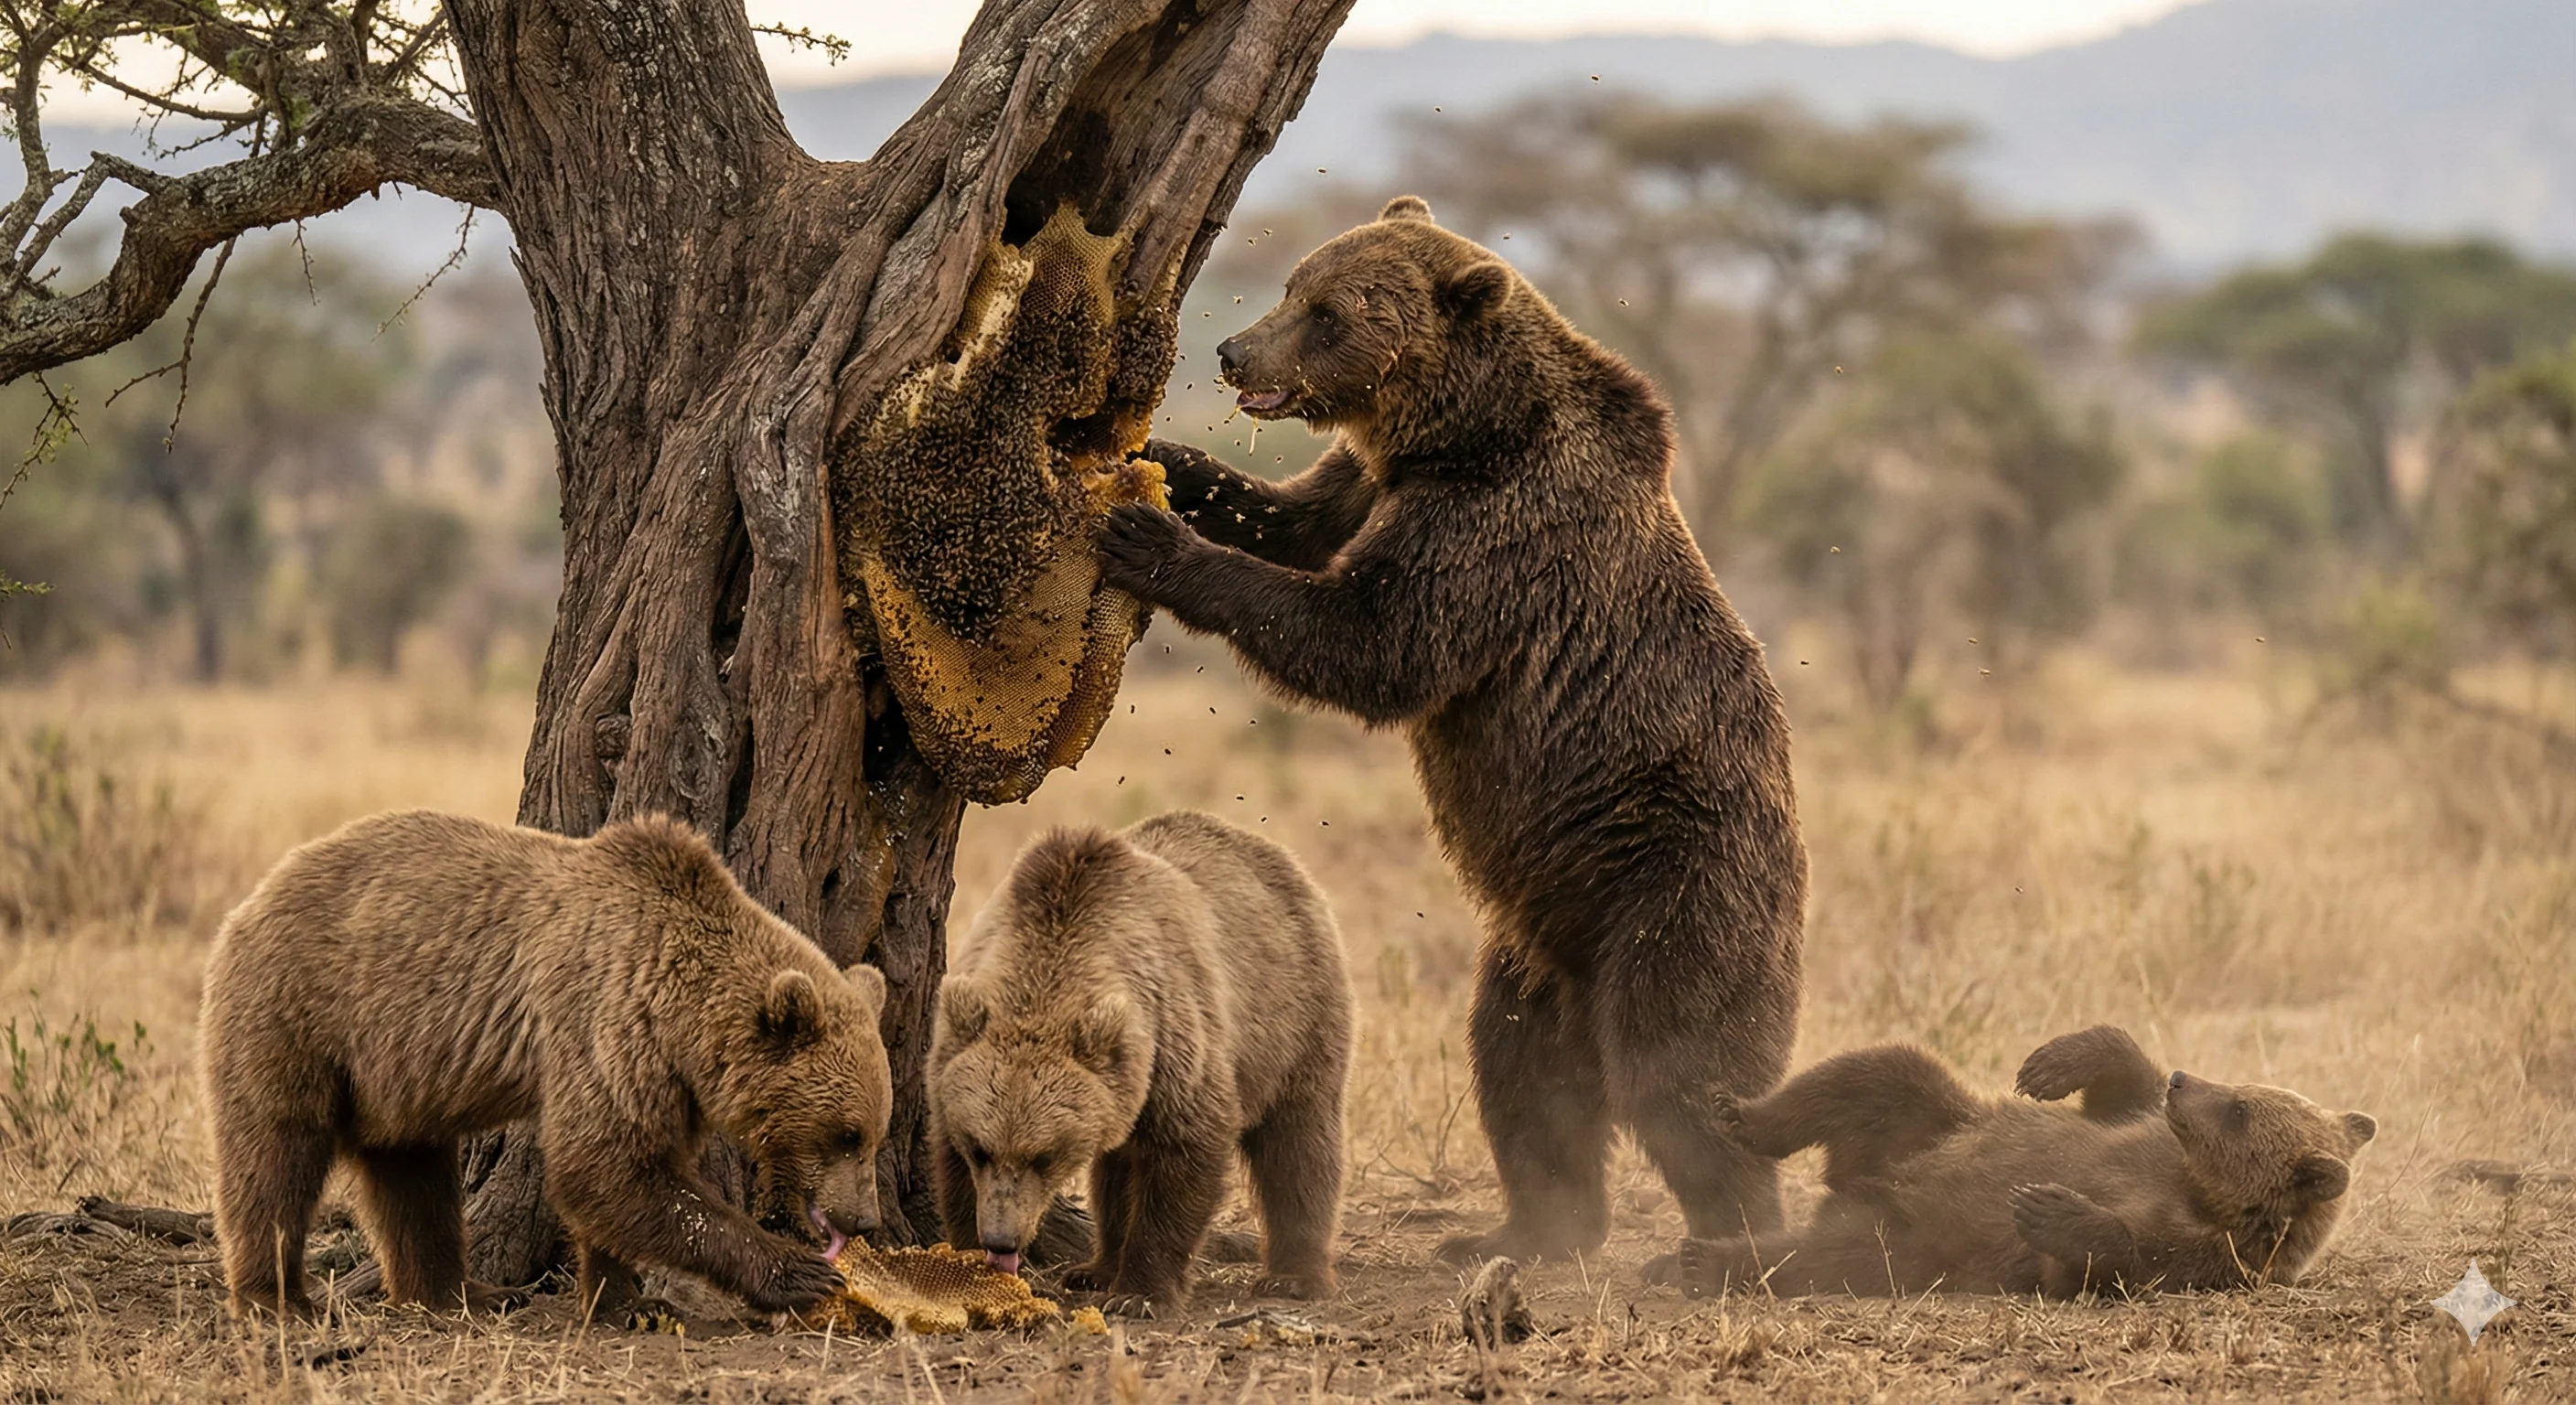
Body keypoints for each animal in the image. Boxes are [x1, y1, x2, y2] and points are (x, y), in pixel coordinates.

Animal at [198, 810, 891, 1320]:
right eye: (846, 1134)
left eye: (873, 1134)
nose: (864, 1219)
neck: (682, 1014)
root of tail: (251, 900)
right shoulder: (606, 1024)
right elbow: (602, 1168)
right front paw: (798, 1273)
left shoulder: (669, 1080)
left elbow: (629, 1179)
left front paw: (625, 1301)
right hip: (299, 1013)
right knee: (274, 1155)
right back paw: (278, 1300)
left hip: (394, 1071)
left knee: (414, 1178)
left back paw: (464, 1294)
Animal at [928, 811, 1352, 1318]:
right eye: (980, 1149)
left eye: (1044, 1156)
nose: (1002, 1239)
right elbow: (952, 1166)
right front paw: (972, 1265)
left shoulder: (1174, 1036)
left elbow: (1186, 1152)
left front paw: (1139, 1293)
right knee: (1116, 1168)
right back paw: (1095, 1268)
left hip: (1295, 1017)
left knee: (1299, 1143)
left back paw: (1295, 1276)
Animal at [1094, 194, 1806, 1263]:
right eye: (1296, 286)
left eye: (1327, 315)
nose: (1230, 350)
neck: (1459, 436)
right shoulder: (1373, 480)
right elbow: (1290, 520)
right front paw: (1167, 463)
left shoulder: (1497, 534)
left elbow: (1374, 643)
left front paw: (1148, 539)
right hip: (1537, 937)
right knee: (1523, 1071)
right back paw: (1527, 1232)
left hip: (1681, 891)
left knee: (1681, 1073)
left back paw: (1730, 1242)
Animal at [1643, 1026, 2378, 1297]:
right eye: (2244, 1092)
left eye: (2241, 1110)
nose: (2183, 1081)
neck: (2197, 1189)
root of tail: (1857, 1183)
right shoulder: (2139, 1133)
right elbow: (2117, 1087)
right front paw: (2050, 1064)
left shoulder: (2204, 1255)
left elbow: (2108, 1262)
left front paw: (2050, 1207)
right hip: (1925, 1124)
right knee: (1876, 1072)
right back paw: (1734, 1114)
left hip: (1912, 1238)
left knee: (1827, 1256)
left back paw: (1705, 1259)